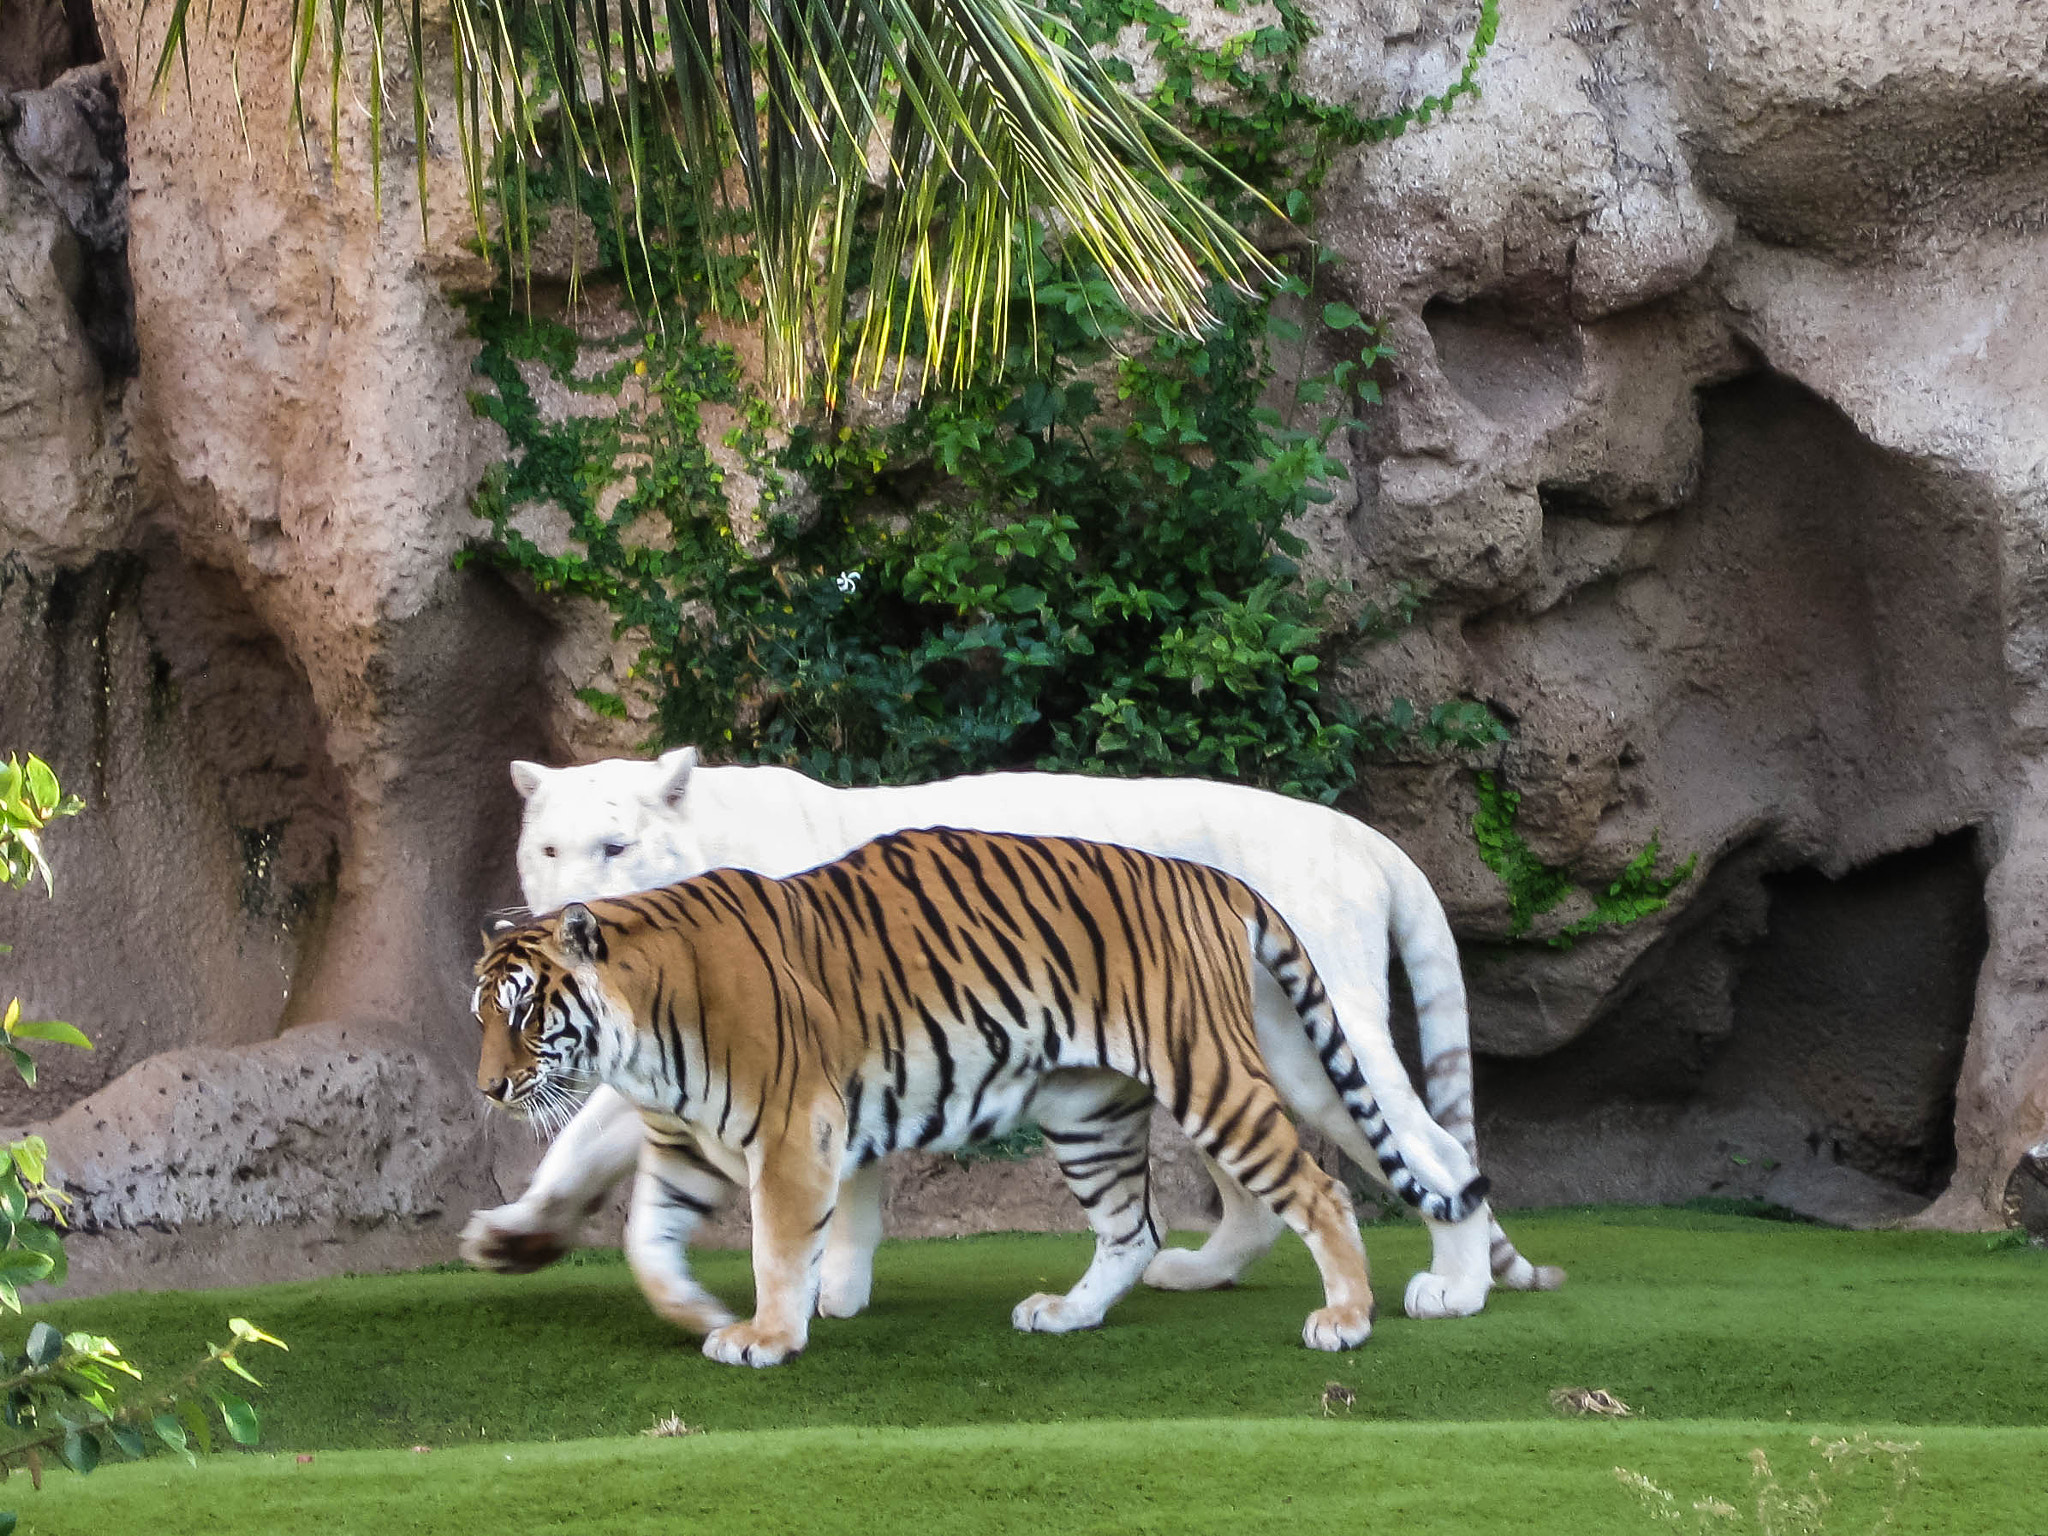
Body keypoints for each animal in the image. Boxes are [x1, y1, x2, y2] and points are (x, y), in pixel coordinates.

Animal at [456, 749, 1556, 1327]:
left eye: (613, 846)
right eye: (546, 847)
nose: (550, 918)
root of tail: (1358, 833)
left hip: (1309, 1041)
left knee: (1430, 1145)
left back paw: (1452, 1290)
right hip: (1231, 1048)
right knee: (1264, 1183)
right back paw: (1193, 1270)